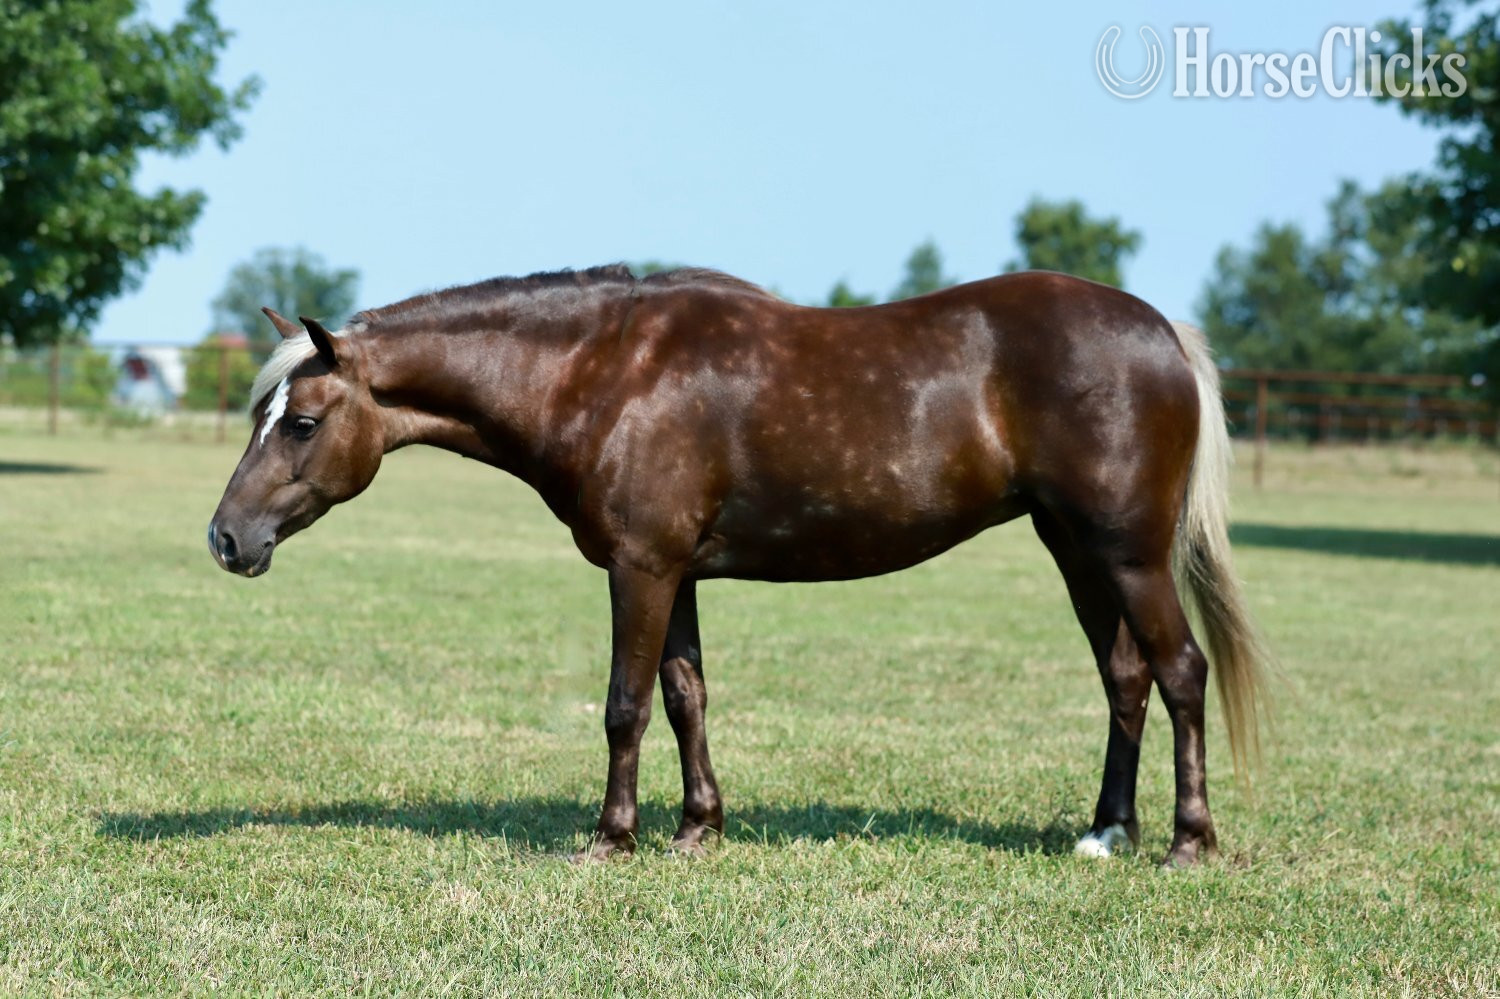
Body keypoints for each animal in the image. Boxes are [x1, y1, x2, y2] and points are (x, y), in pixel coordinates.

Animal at [207, 264, 1269, 867]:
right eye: (262, 414)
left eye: (302, 422)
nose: (225, 537)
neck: (608, 372)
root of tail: (1163, 330)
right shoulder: (675, 572)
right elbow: (686, 696)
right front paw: (696, 829)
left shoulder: (639, 567)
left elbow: (625, 704)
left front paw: (612, 838)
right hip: (1075, 549)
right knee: (1126, 677)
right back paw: (1106, 832)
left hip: (1128, 554)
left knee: (1180, 673)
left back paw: (1187, 842)